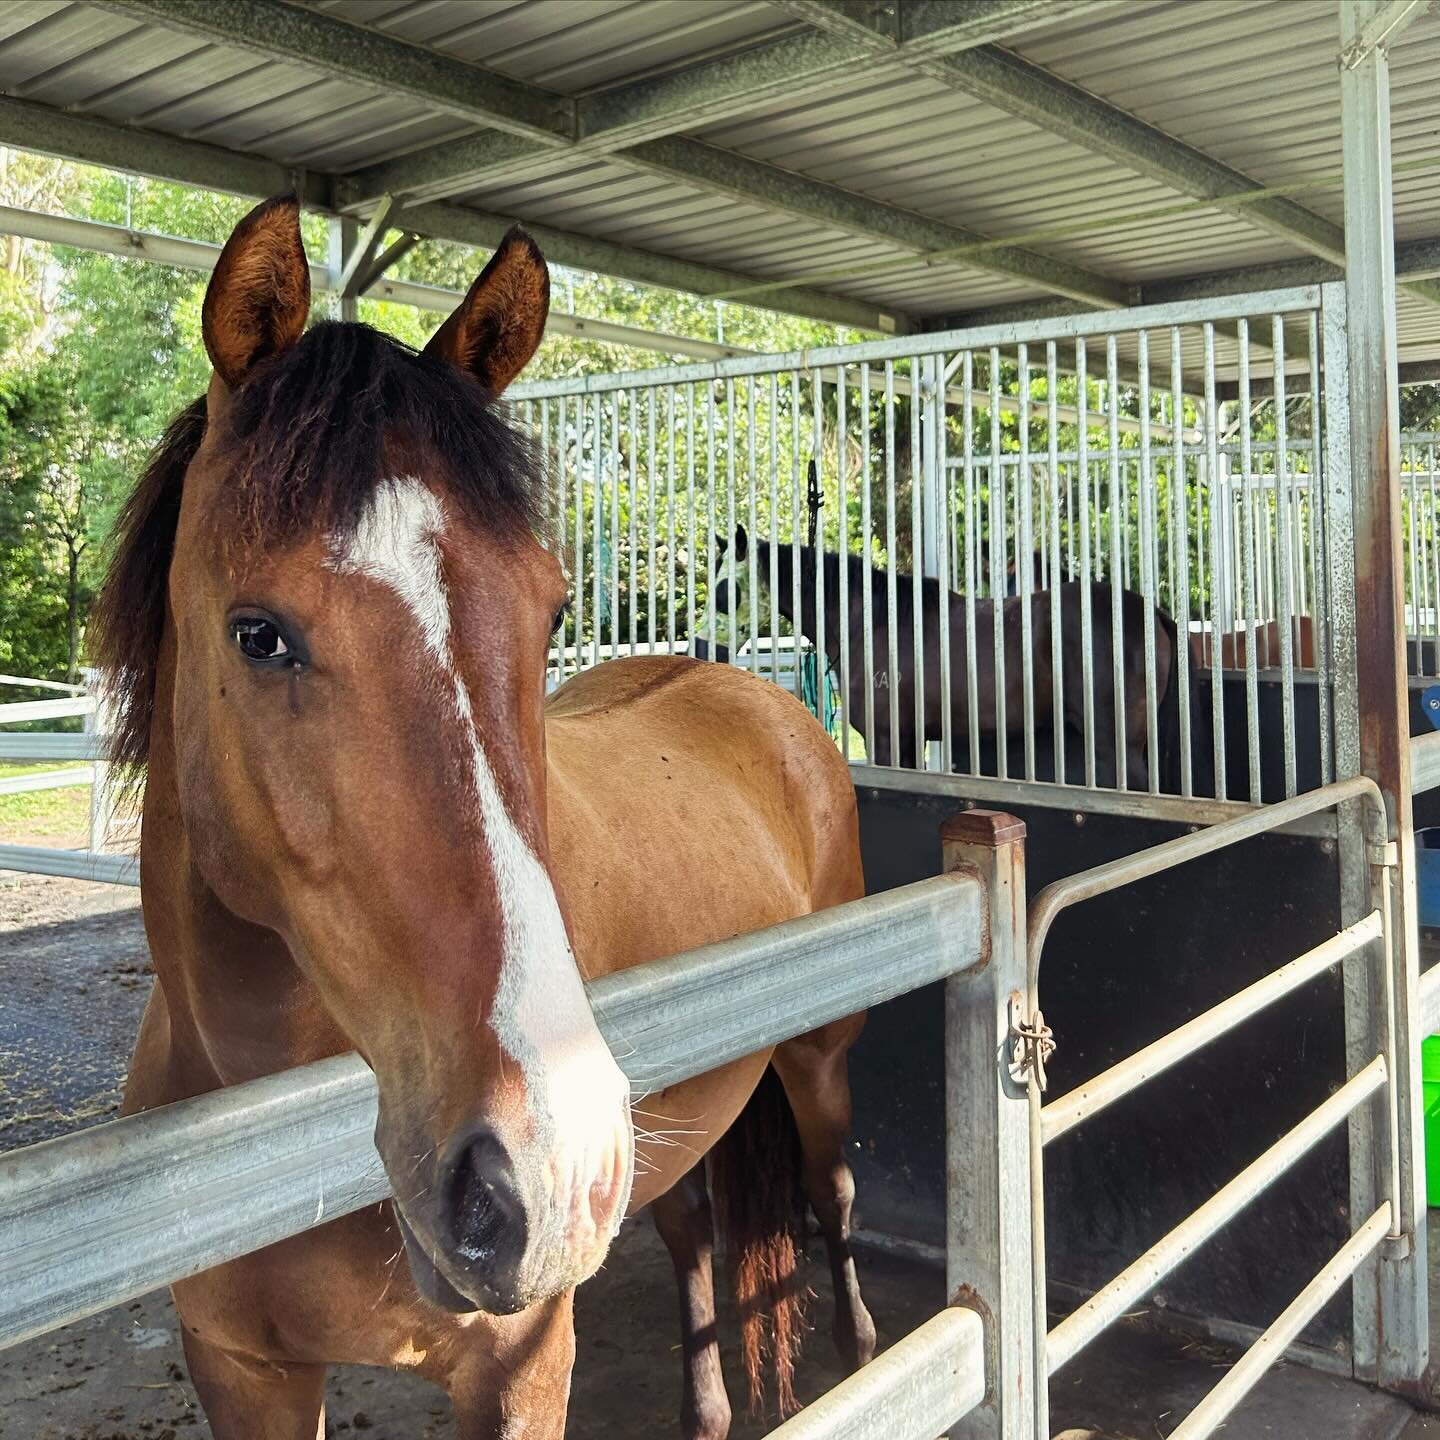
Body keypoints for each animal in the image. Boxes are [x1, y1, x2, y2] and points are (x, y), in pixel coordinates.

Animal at [98, 194, 875, 1440]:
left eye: (552, 608)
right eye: (257, 634)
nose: (543, 1171)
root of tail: (752, 688)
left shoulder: (520, 1365)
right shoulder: (240, 1370)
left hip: (815, 1063)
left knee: (830, 1194)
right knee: (691, 1230)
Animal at [696, 524, 1180, 789]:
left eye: (725, 589)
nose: (700, 650)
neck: (873, 622)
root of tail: (1148, 611)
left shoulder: (887, 740)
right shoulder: (910, 740)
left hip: (1116, 744)